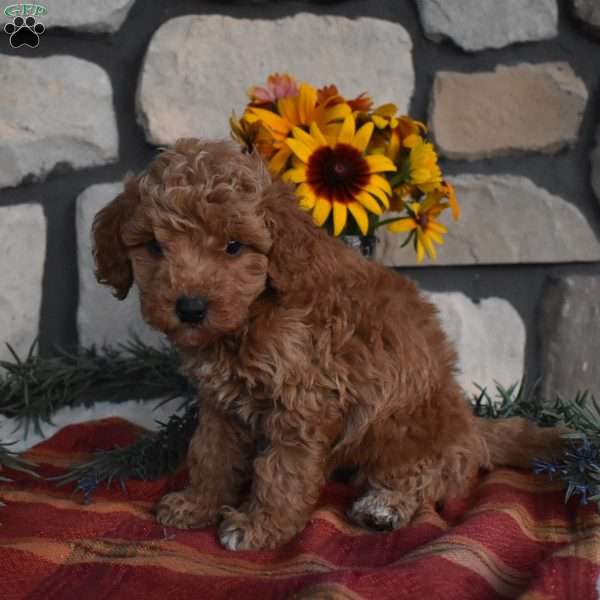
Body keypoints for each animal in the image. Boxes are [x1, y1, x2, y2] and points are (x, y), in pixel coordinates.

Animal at [91, 138, 564, 552]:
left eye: (233, 247)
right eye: (155, 247)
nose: (190, 307)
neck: (251, 318)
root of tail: (473, 427)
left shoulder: (303, 405)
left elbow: (280, 474)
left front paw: (259, 528)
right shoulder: (219, 404)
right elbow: (211, 454)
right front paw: (197, 504)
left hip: (414, 430)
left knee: (434, 478)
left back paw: (386, 505)